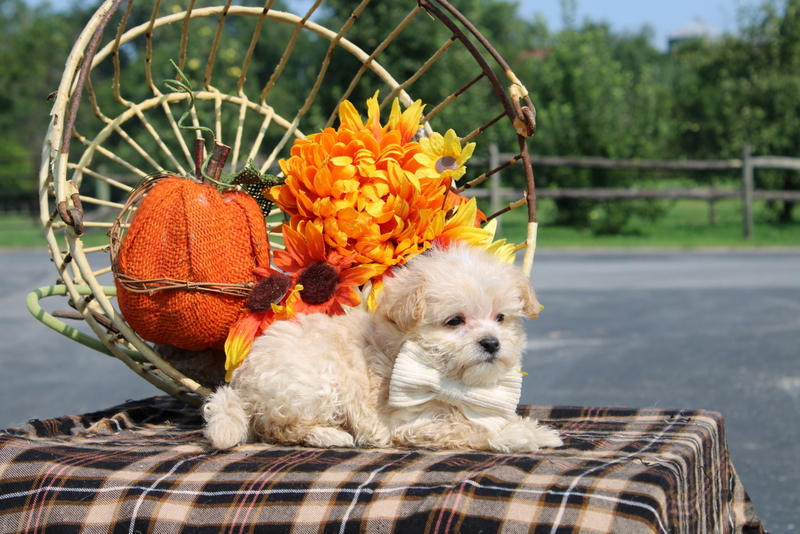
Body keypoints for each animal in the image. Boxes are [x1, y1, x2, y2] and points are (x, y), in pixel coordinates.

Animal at [203, 245, 560, 454]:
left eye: (501, 318)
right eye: (455, 321)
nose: (491, 343)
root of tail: (241, 386)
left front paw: (528, 428)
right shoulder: (413, 420)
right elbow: (466, 427)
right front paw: (520, 436)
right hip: (310, 385)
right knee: (277, 428)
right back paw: (328, 435)